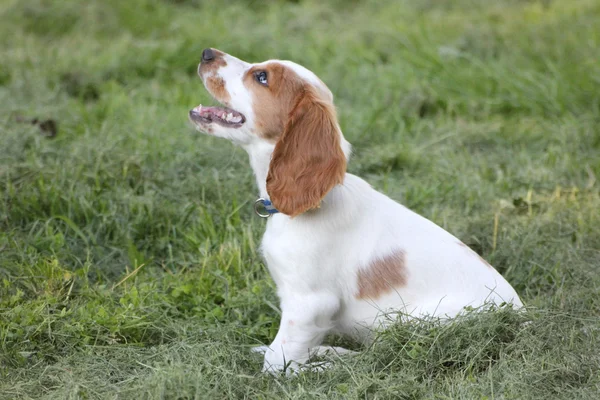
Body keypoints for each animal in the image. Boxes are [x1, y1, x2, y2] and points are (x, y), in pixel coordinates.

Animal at [190, 48, 524, 374]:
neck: (313, 203)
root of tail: (524, 320)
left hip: (407, 322)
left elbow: (279, 362)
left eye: (261, 77)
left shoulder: (310, 302)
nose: (206, 53)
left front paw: (305, 366)